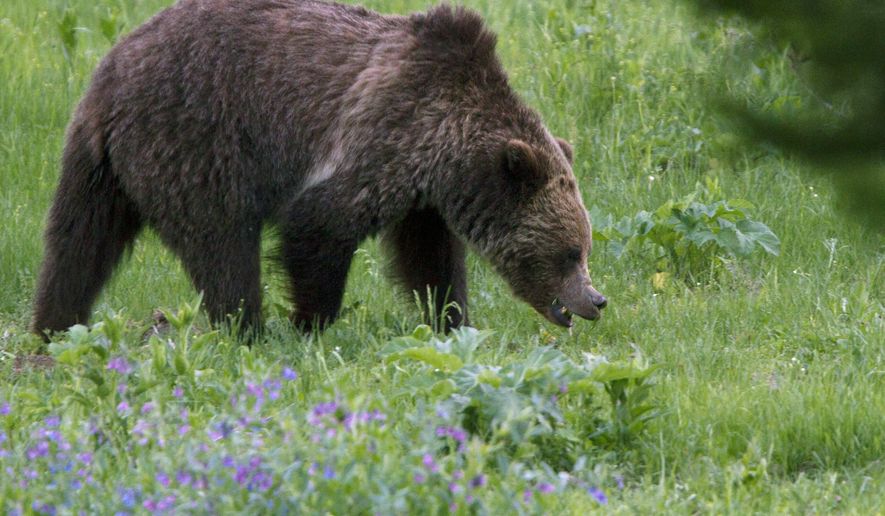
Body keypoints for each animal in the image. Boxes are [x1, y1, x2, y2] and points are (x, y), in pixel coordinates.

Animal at [31, 0, 607, 340]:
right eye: (570, 252)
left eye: (584, 247)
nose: (596, 300)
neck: (447, 150)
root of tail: (110, 76)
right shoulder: (383, 132)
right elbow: (319, 224)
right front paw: (311, 323)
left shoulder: (423, 194)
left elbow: (430, 259)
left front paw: (451, 319)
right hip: (194, 141)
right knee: (223, 246)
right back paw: (249, 329)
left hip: (99, 167)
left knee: (77, 245)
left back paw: (53, 327)